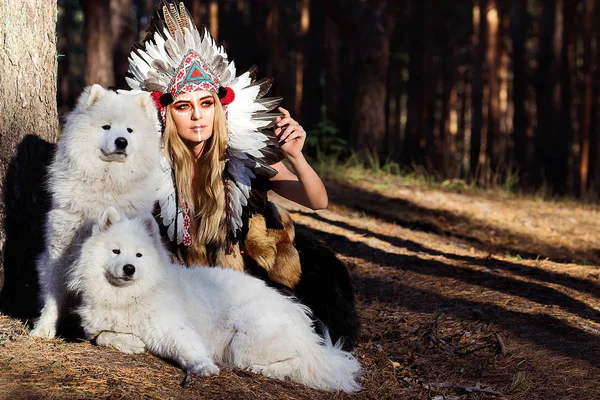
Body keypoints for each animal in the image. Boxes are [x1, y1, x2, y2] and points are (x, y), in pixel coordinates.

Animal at [29, 84, 162, 346]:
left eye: (130, 130)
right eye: (106, 127)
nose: (121, 141)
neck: (106, 183)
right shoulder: (61, 250)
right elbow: (54, 293)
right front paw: (44, 329)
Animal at [68, 208, 364, 392]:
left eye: (139, 255)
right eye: (116, 251)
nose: (129, 268)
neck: (130, 297)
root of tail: (299, 317)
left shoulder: (175, 329)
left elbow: (190, 349)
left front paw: (204, 367)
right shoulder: (100, 328)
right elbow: (104, 336)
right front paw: (131, 343)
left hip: (245, 342)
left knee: (296, 360)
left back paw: (264, 370)